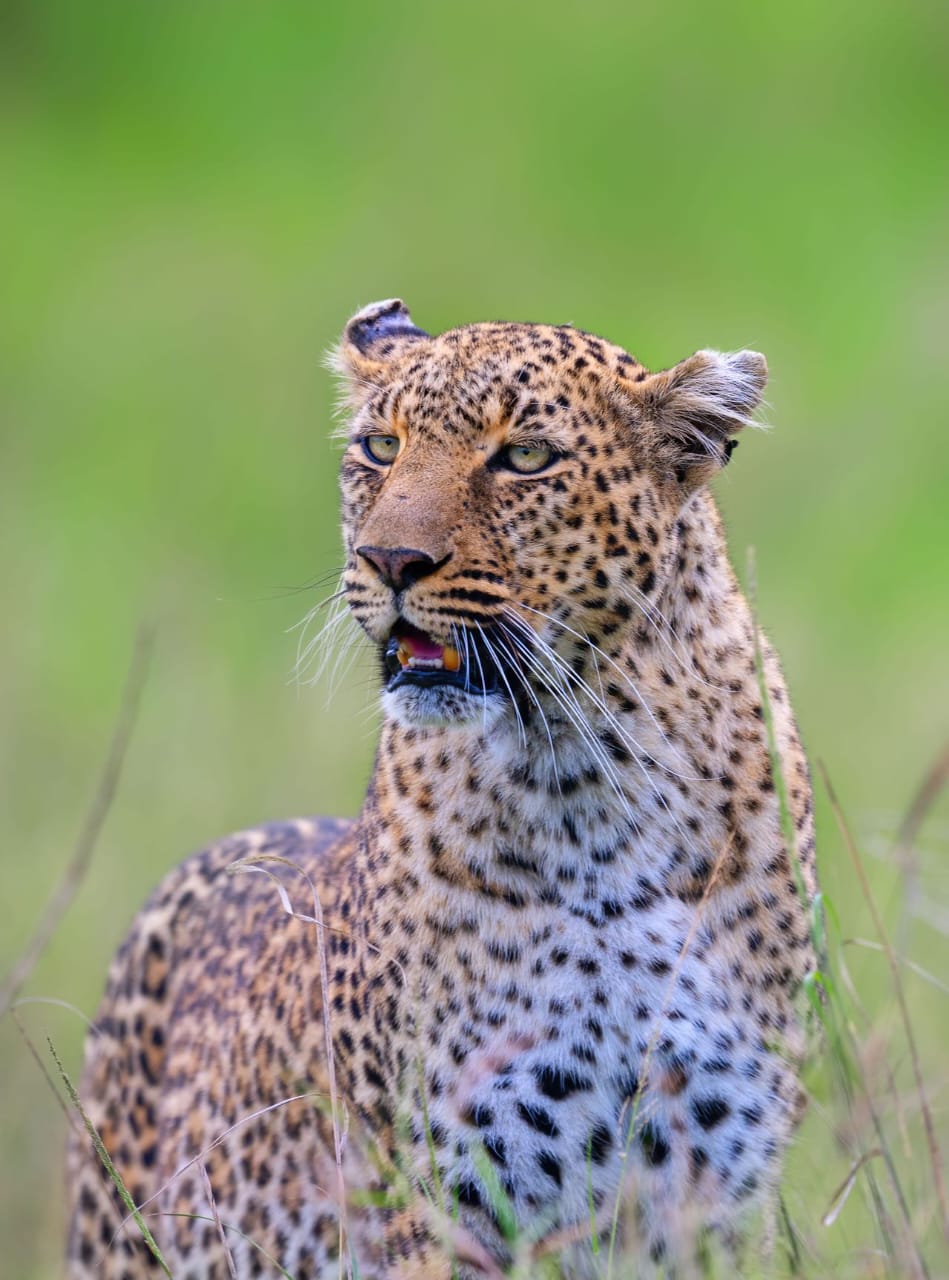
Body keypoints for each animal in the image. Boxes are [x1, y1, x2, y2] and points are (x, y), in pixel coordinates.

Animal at [67, 299, 819, 1279]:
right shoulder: (442, 1198)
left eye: (525, 458)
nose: (390, 559)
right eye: (379, 447)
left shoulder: (716, 1196)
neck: (586, 784)